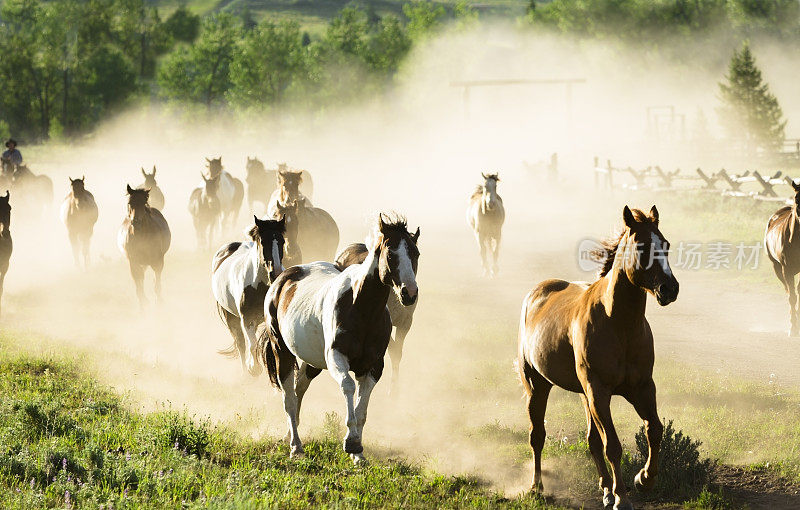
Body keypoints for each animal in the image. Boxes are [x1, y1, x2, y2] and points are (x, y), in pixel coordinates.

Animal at [212, 215, 288, 374]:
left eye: (282, 241)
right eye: (263, 241)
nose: (276, 273)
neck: (260, 285)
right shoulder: (247, 319)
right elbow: (251, 344)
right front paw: (253, 368)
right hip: (231, 317)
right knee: (241, 342)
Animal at [520, 206, 676, 510]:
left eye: (665, 244)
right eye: (642, 246)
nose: (670, 289)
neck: (619, 324)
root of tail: (537, 293)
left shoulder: (641, 388)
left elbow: (654, 429)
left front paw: (643, 479)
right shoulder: (599, 391)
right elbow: (612, 445)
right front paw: (622, 498)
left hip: (583, 395)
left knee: (591, 439)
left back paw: (604, 488)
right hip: (538, 385)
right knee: (537, 436)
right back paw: (536, 487)